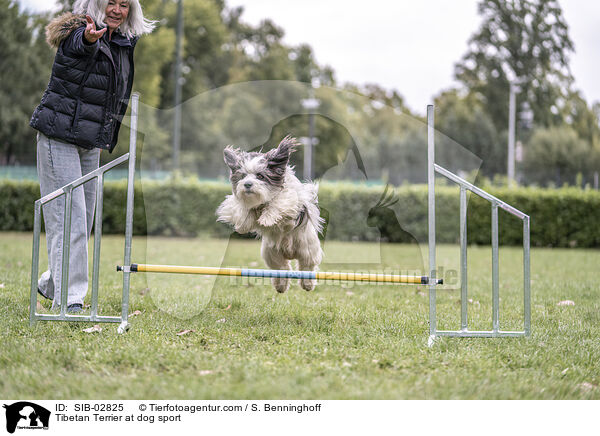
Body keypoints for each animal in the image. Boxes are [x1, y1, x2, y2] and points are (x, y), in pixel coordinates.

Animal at [217, 136, 324, 292]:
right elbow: (242, 209)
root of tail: (290, 253)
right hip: (272, 254)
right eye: (243, 176)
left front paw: (267, 218)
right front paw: (244, 224)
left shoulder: (292, 200)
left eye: (260, 176)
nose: (247, 184)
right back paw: (281, 286)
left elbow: (279, 202)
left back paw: (307, 284)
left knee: (307, 266)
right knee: (282, 268)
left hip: (307, 249)